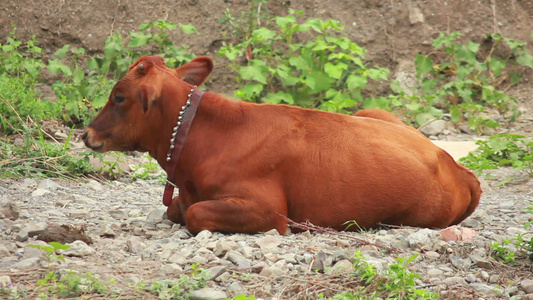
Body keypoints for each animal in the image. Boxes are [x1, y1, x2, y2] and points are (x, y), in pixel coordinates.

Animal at [83, 55, 482, 234]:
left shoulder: (270, 211)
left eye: (119, 97)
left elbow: (193, 214)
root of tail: (455, 164)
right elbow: (175, 208)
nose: (86, 134)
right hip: (374, 111)